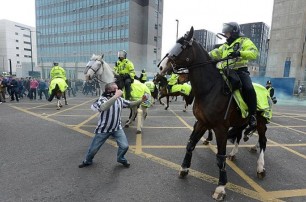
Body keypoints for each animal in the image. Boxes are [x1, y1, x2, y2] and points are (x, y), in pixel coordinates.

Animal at [158, 27, 270, 200]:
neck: (210, 89)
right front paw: (184, 168)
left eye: (182, 47)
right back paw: (234, 153)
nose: (161, 67)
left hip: (261, 122)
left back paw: (260, 167)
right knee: (239, 136)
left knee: (263, 141)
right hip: (240, 121)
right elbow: (190, 144)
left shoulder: (220, 128)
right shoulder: (202, 123)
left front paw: (221, 187)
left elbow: (220, 157)